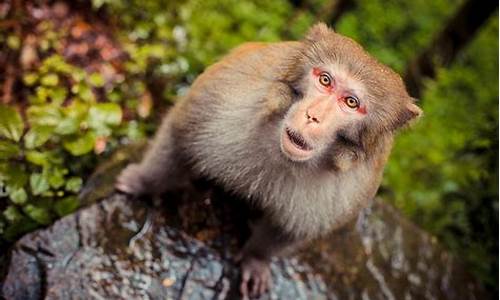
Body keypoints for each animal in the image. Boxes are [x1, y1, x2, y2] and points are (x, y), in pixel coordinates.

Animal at [114, 22, 422, 298]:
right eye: (325, 80)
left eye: (351, 103)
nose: (313, 116)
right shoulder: (229, 99)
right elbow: (180, 137)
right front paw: (141, 182)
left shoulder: (353, 185)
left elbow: (290, 228)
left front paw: (256, 258)